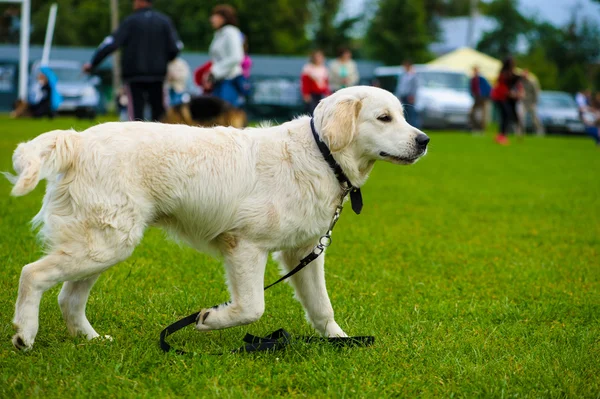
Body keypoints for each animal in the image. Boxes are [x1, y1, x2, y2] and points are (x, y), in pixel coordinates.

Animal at [4, 86, 426, 350]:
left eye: (402, 116)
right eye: (384, 118)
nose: (424, 141)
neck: (322, 154)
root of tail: (77, 139)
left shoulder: (303, 253)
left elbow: (322, 307)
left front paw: (339, 341)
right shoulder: (246, 246)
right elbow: (253, 307)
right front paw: (210, 319)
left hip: (104, 243)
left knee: (69, 298)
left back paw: (91, 340)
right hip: (105, 243)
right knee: (32, 274)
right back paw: (25, 334)